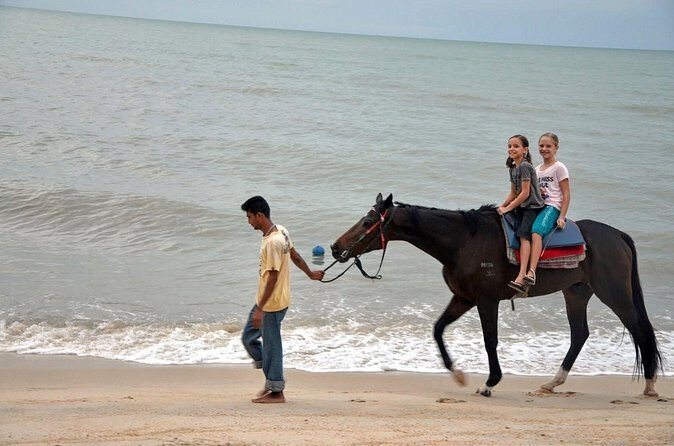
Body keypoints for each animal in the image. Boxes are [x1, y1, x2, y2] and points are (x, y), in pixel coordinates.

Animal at [330, 193, 663, 397]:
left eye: (367, 222)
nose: (335, 247)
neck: (464, 241)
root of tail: (618, 235)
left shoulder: (486, 300)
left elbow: (490, 339)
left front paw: (489, 384)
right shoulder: (464, 298)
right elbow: (438, 329)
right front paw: (458, 374)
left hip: (615, 293)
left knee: (639, 329)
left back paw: (649, 385)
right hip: (577, 293)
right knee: (580, 334)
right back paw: (551, 383)